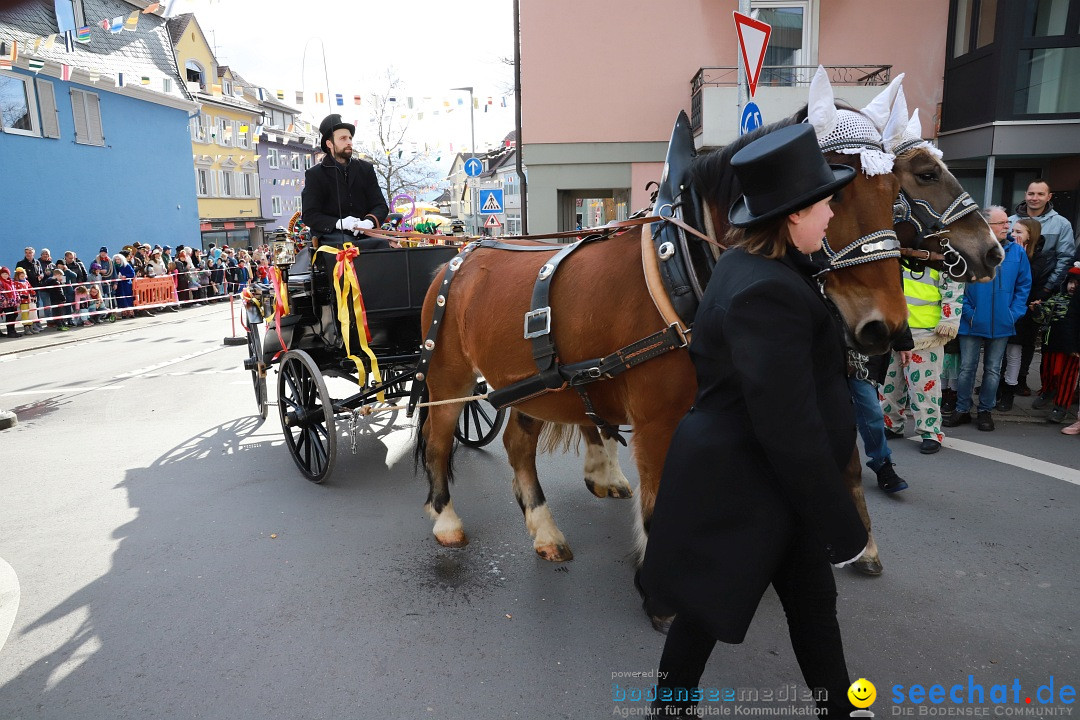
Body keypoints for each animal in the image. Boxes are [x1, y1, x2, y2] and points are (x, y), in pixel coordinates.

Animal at [412, 74, 911, 569]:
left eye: (894, 195)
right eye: (836, 190)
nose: (886, 328)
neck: (683, 269)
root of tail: (459, 255)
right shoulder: (656, 422)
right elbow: (657, 507)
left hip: (535, 386)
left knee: (518, 442)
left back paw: (544, 529)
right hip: (449, 377)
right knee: (438, 439)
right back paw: (446, 520)